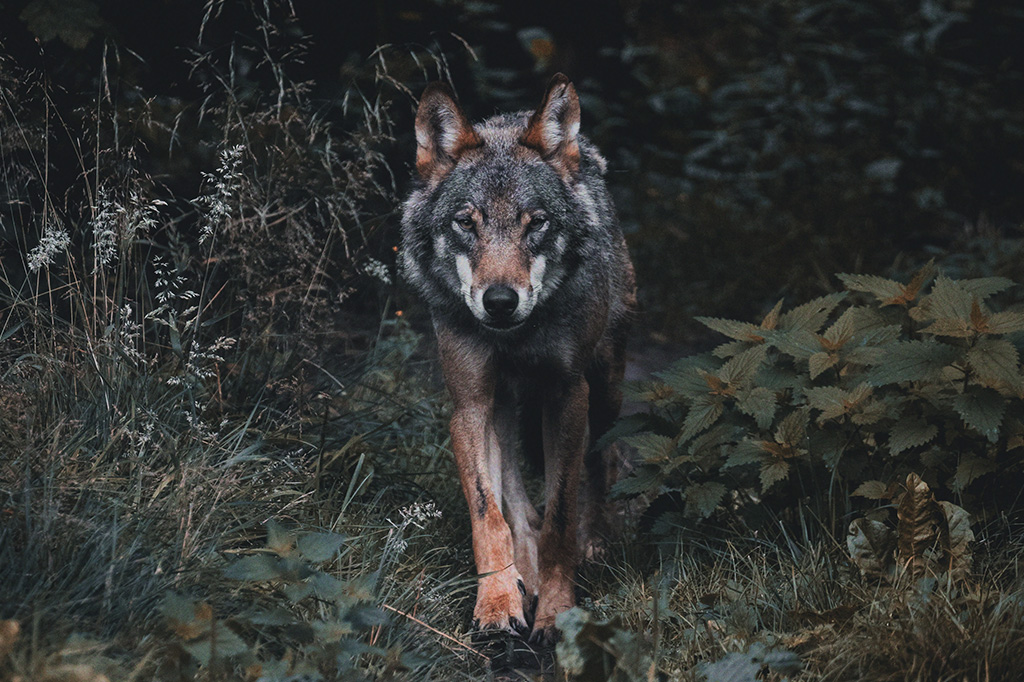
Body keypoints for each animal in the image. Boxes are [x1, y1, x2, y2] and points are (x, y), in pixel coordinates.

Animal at [400, 74, 635, 643]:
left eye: (537, 224)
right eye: (466, 223)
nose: (501, 301)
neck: (515, 338)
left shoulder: (568, 395)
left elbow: (560, 516)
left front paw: (556, 610)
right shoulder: (469, 405)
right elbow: (490, 515)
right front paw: (497, 601)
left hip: (607, 390)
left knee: (601, 462)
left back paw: (593, 544)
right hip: (503, 407)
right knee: (516, 500)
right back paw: (522, 575)